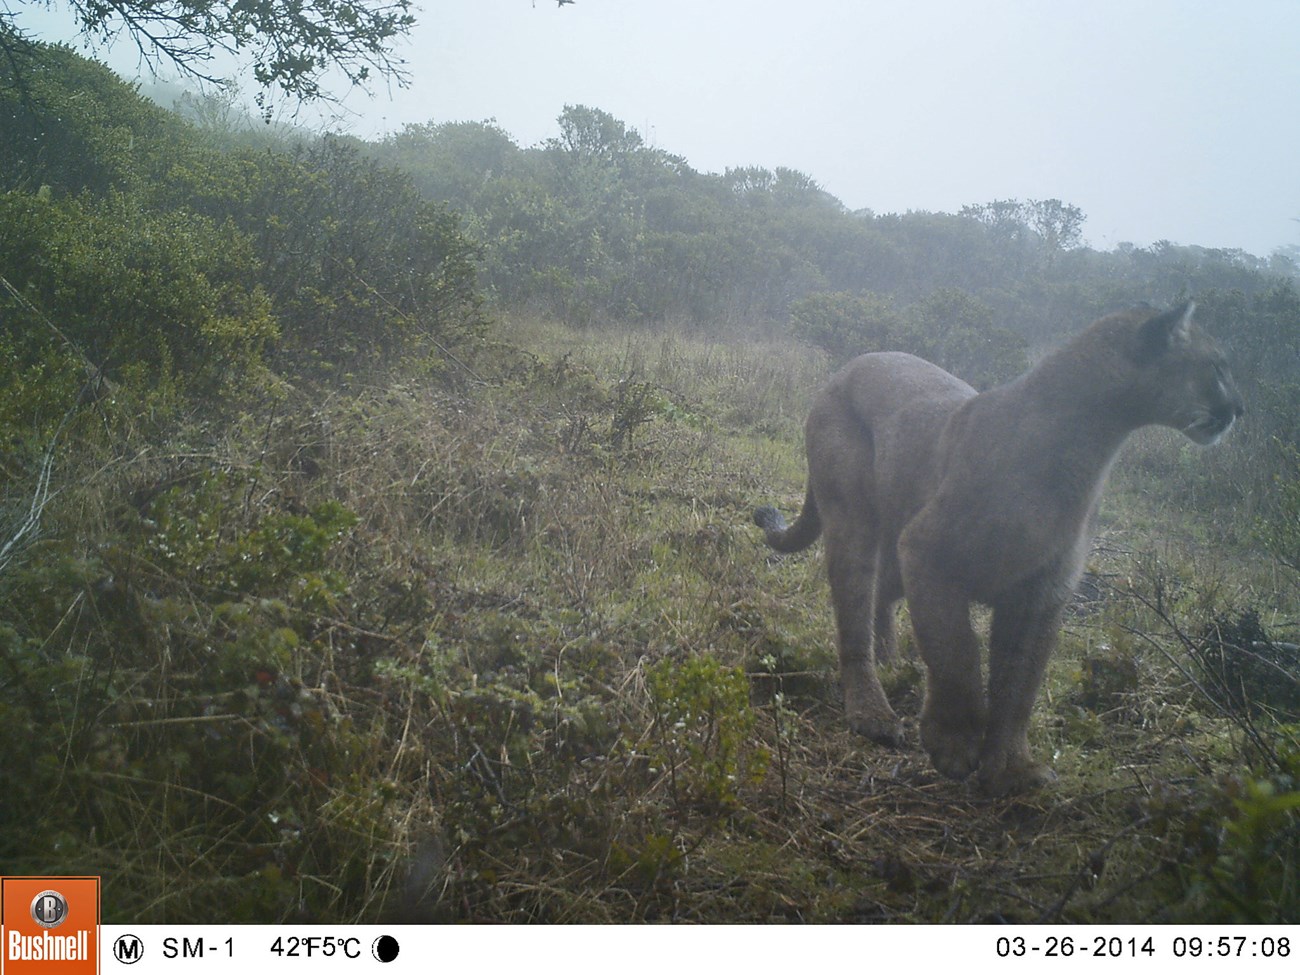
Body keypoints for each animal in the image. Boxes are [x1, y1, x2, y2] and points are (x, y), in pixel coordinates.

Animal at [759, 304, 1242, 795]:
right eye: (1218, 367)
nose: (1239, 409)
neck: (1088, 449)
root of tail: (851, 366)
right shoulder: (929, 553)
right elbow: (958, 654)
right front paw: (953, 744)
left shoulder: (1042, 591)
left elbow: (1021, 683)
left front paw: (1014, 767)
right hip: (853, 518)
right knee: (854, 613)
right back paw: (873, 712)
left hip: (895, 535)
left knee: (882, 596)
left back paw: (892, 661)